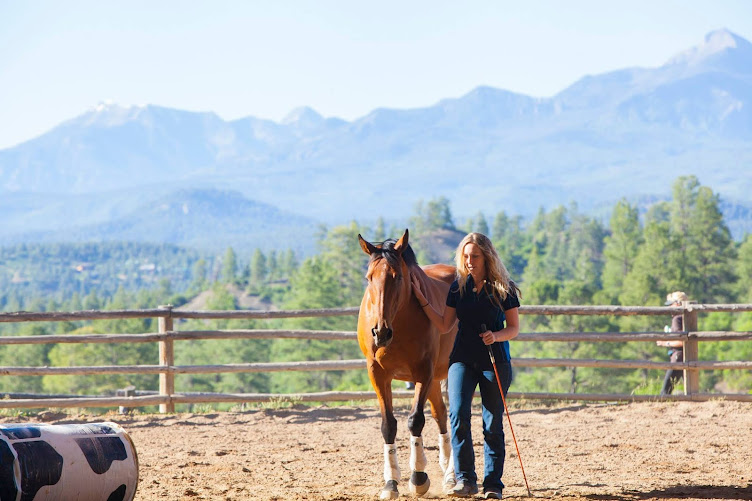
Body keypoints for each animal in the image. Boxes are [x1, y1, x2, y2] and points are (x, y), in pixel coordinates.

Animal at [358, 229, 458, 498]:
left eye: (397, 277)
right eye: (369, 278)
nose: (380, 332)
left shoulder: (423, 372)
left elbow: (415, 420)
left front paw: (418, 477)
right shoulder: (378, 374)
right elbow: (388, 425)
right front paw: (390, 482)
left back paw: (451, 474)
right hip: (434, 380)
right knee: (441, 414)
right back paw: (448, 471)